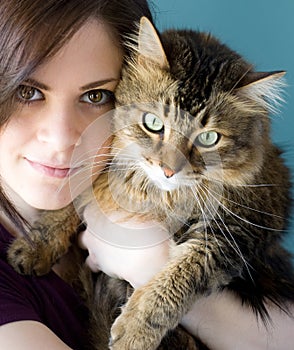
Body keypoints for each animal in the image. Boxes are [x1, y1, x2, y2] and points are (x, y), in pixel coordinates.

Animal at [8, 16, 294, 350]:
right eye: (154, 123)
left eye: (209, 138)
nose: (168, 169)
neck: (156, 193)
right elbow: (68, 203)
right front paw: (34, 246)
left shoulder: (235, 232)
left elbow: (178, 278)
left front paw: (135, 331)